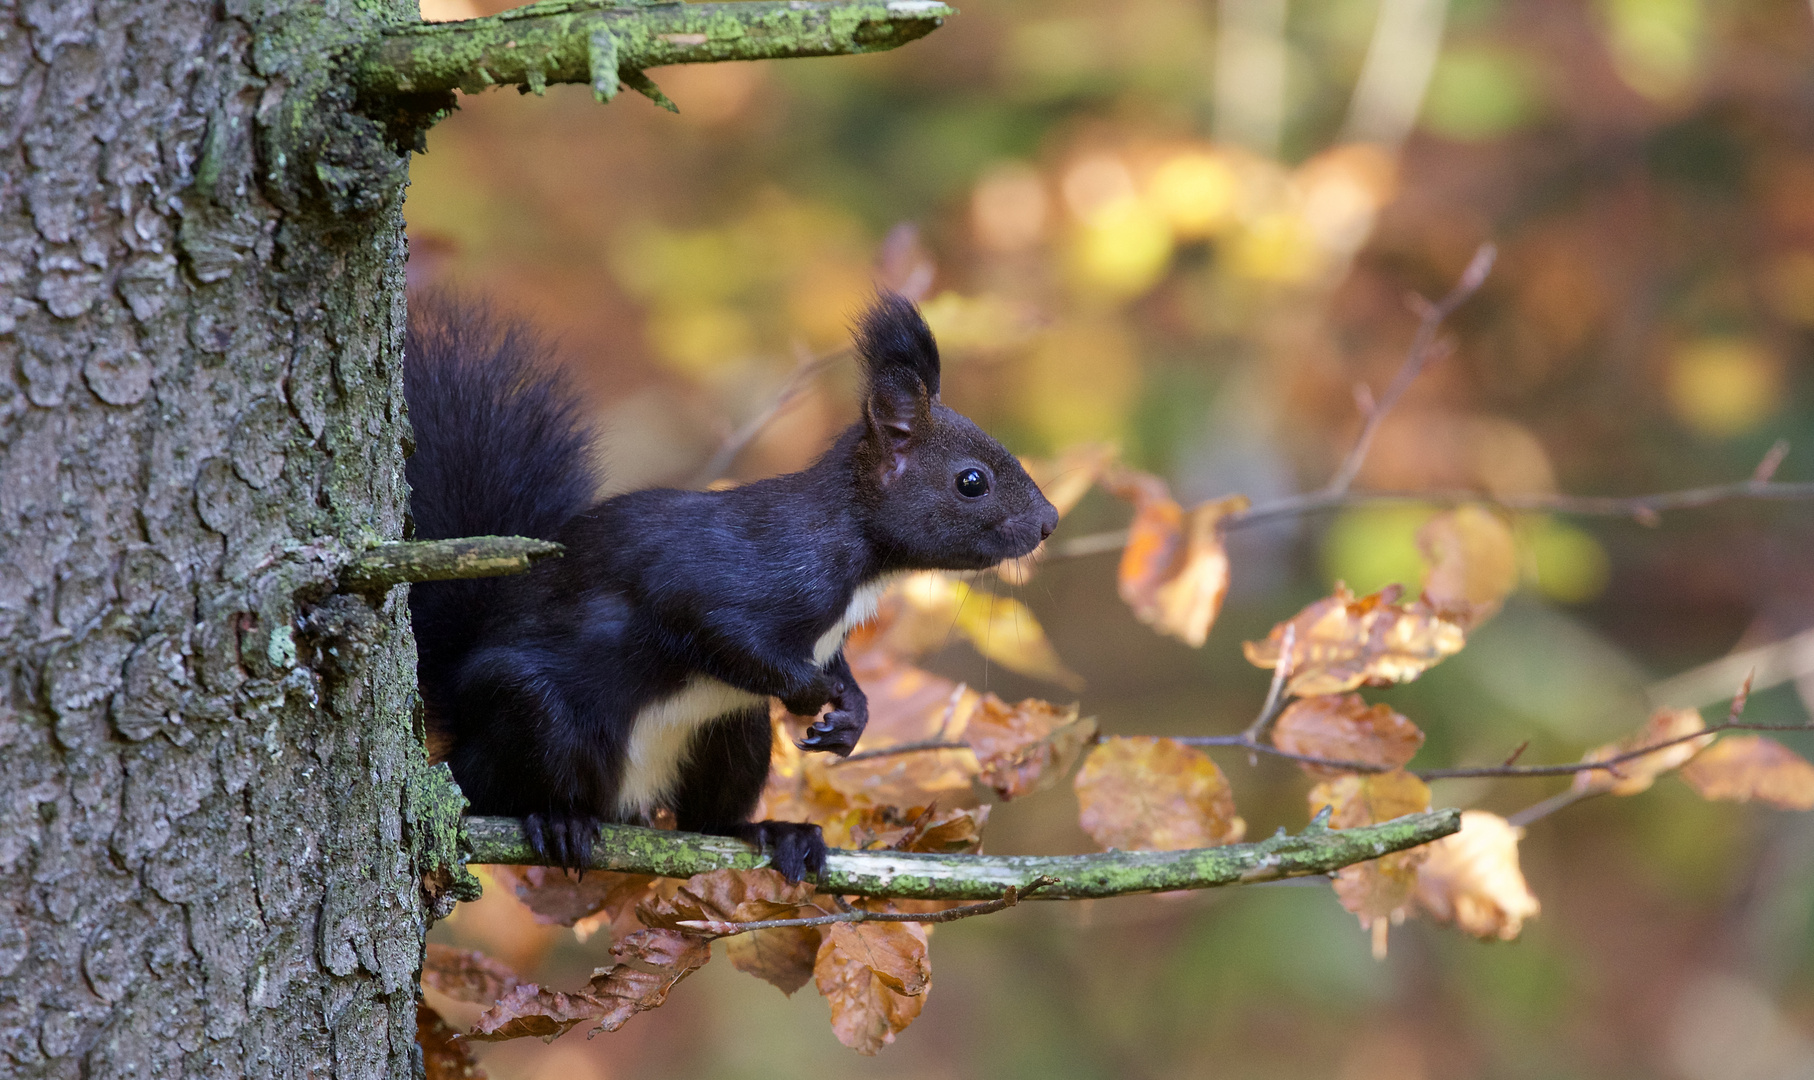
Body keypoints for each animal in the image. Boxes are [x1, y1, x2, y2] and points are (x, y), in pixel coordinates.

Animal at [397, 292, 1052, 882]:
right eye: (972, 482)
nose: (1048, 523)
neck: (860, 559)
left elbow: (835, 666)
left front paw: (852, 714)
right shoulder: (724, 576)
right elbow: (716, 629)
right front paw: (812, 694)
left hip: (731, 733)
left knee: (705, 823)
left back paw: (774, 832)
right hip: (534, 714)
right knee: (498, 790)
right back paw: (555, 818)